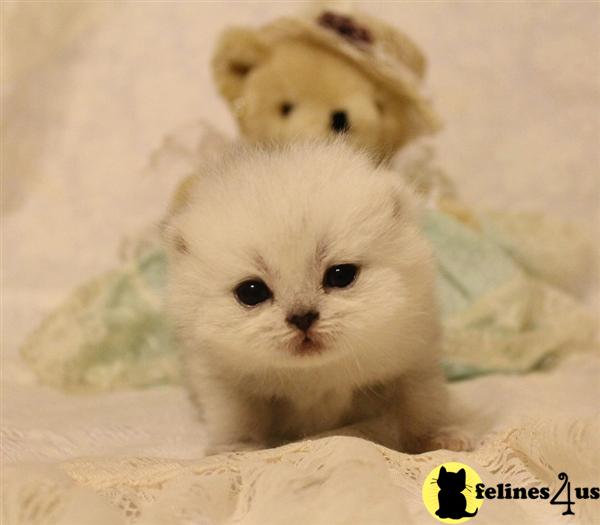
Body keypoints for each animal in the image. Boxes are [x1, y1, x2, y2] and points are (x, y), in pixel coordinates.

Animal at [166, 140, 462, 454]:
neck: (315, 372)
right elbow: (236, 419)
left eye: (341, 275)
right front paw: (237, 450)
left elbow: (422, 405)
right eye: (251, 292)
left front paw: (440, 439)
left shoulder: (415, 361)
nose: (302, 318)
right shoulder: (222, 380)